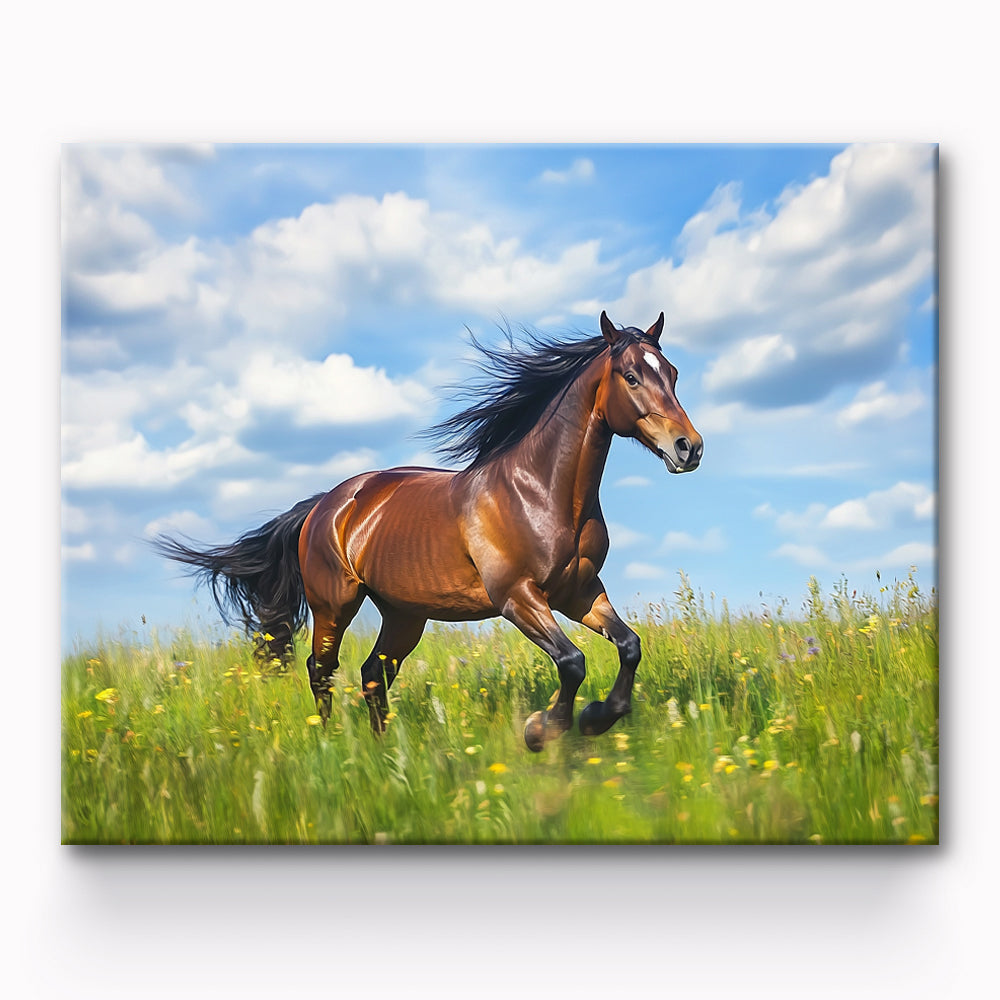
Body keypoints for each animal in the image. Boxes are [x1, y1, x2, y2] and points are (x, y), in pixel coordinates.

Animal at [154, 311, 703, 751]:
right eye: (631, 376)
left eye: (673, 373)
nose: (689, 448)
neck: (541, 492)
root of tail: (324, 506)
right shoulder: (518, 597)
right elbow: (572, 662)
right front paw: (541, 730)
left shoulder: (581, 592)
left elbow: (629, 646)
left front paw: (596, 719)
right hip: (335, 603)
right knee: (321, 669)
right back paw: (328, 742)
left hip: (404, 614)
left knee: (372, 674)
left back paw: (381, 750)